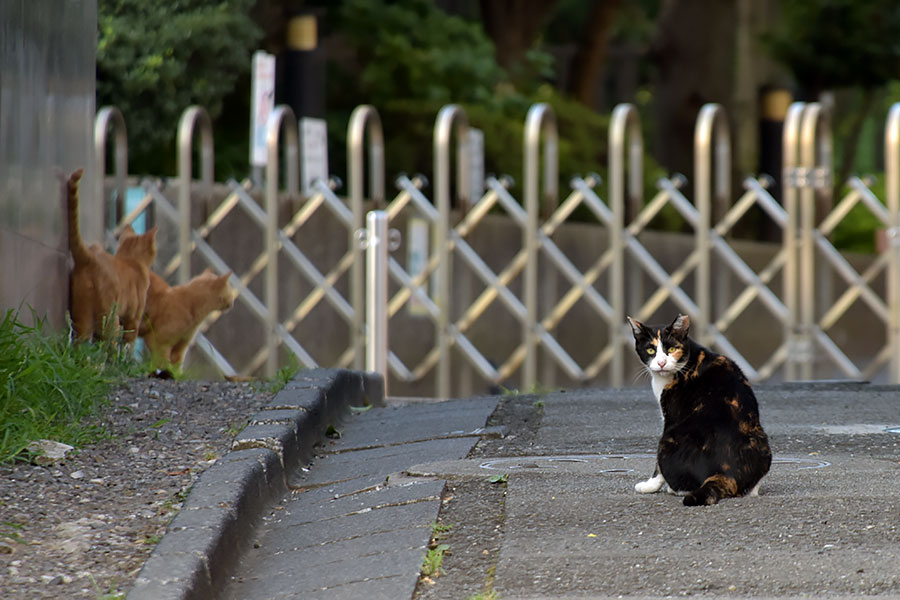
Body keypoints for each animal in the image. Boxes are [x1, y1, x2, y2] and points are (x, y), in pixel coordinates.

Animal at [65, 166, 158, 344]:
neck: (131, 259)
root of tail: (89, 258)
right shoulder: (133, 319)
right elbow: (129, 343)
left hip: (82, 317)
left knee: (80, 344)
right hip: (110, 319)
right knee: (109, 345)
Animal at [624, 314, 772, 506]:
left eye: (672, 349)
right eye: (650, 350)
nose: (662, 363)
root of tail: (724, 473)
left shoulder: (670, 416)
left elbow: (657, 468)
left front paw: (650, 486)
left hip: (668, 439)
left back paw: (672, 489)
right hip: (761, 442)